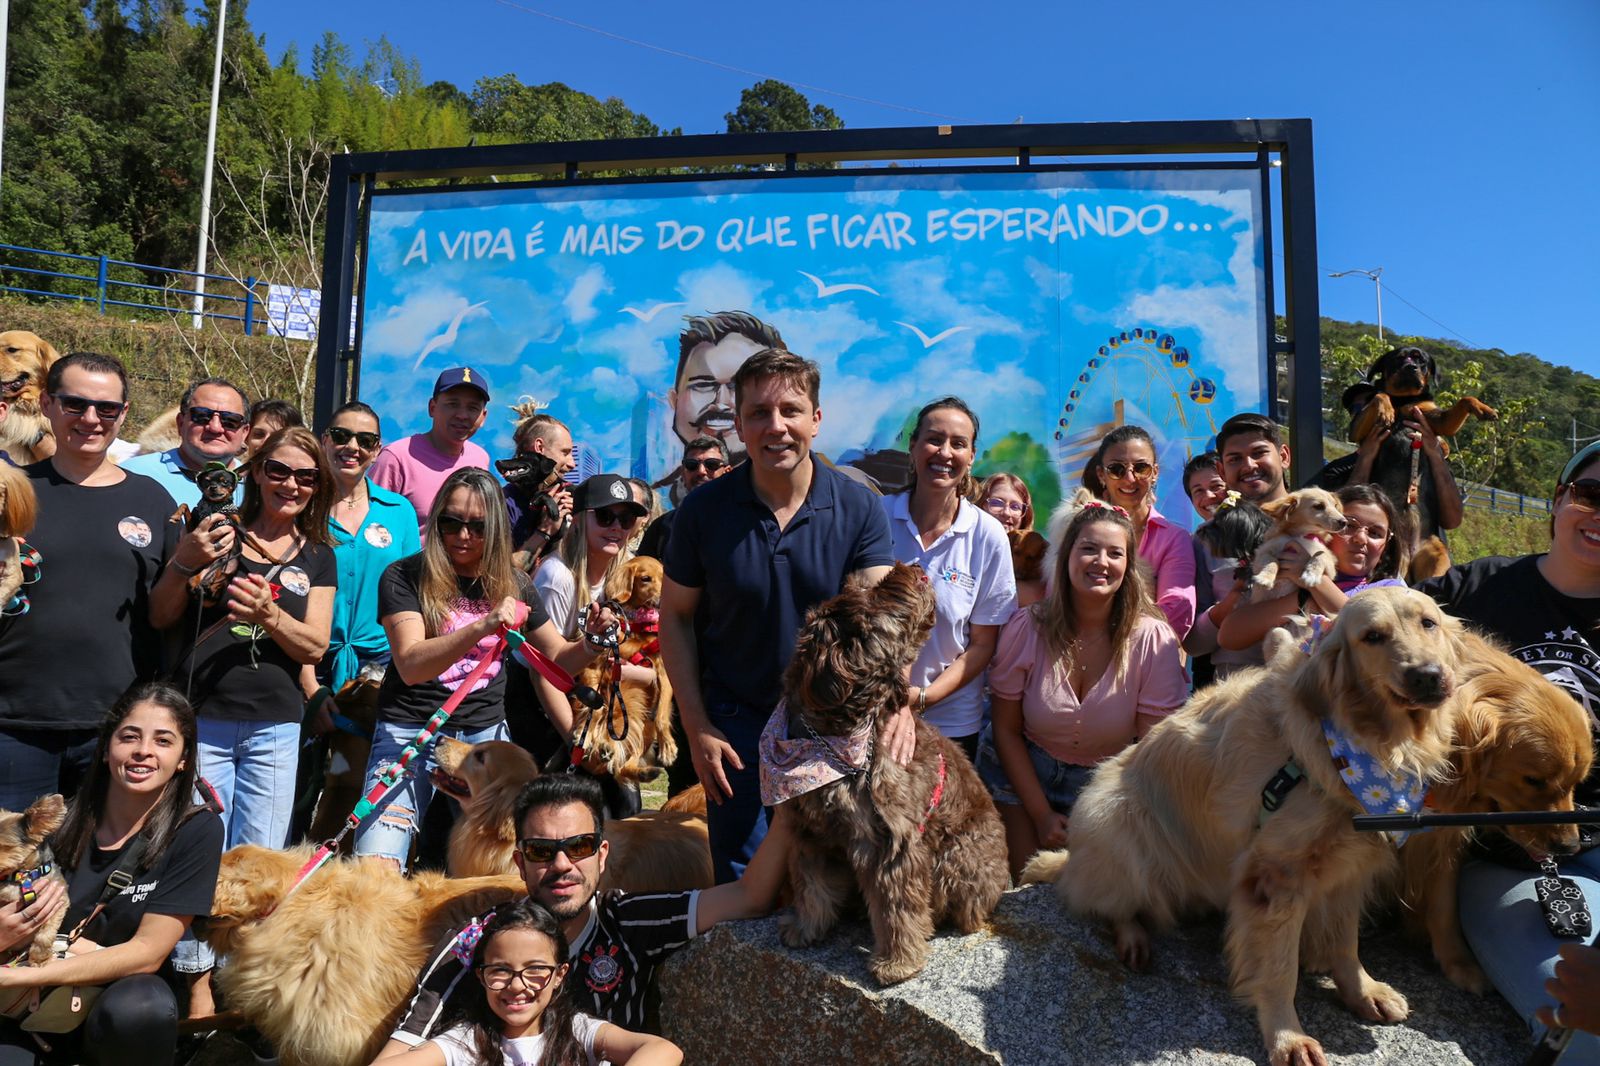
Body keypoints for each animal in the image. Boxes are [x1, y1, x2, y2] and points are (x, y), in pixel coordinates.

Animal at [576, 557, 675, 781]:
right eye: (645, 579)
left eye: (664, 577)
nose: (665, 601)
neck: (638, 626)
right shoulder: (595, 667)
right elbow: (595, 711)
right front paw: (585, 736)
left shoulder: (665, 674)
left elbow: (662, 714)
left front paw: (667, 747)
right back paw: (602, 747)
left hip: (642, 726)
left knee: (628, 759)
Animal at [771, 560, 1004, 985]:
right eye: (873, 595)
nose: (914, 568)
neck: (831, 739)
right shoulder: (808, 832)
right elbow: (811, 886)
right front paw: (806, 927)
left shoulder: (891, 840)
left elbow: (898, 906)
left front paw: (898, 962)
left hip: (957, 859)